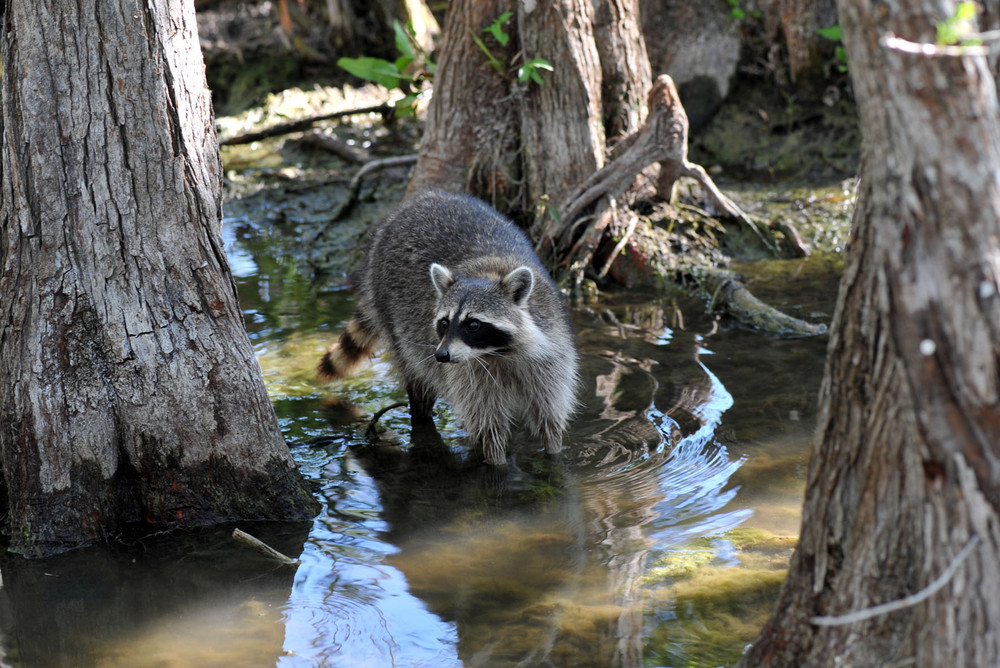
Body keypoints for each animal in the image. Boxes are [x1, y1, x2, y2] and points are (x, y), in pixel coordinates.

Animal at [320, 190, 580, 468]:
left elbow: (549, 416)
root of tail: (422, 197)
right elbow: (489, 425)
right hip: (392, 314)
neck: (499, 352)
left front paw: (555, 458)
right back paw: (421, 421)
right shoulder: (469, 374)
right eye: (444, 323)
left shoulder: (550, 355)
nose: (441, 355)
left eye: (473, 324)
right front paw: (497, 463)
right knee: (419, 381)